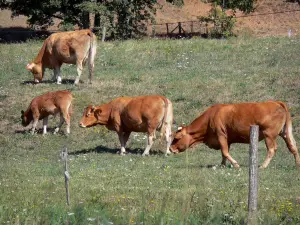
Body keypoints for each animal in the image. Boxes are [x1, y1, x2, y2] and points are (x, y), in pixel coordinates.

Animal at [170, 101, 300, 168]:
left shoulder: (221, 135)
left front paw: (235, 164)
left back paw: (262, 166)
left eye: (176, 138)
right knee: (293, 146)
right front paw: (222, 165)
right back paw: (297, 164)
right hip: (285, 132)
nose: (170, 149)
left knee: (272, 149)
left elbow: (224, 151)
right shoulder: (227, 140)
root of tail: (276, 102)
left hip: (269, 135)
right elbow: (224, 152)